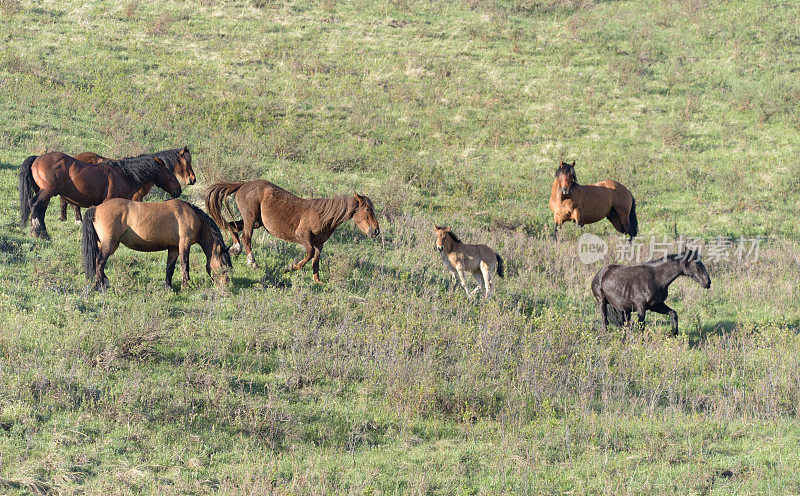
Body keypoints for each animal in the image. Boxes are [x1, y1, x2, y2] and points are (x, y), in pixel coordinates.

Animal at [19, 152, 183, 239]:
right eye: (170, 172)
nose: (179, 190)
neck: (124, 174)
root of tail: (37, 158)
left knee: (40, 210)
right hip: (47, 192)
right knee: (34, 205)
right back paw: (39, 233)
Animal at [80, 198, 231, 290]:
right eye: (223, 266)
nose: (225, 287)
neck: (192, 215)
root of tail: (95, 209)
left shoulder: (174, 248)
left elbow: (170, 268)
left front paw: (168, 287)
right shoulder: (184, 244)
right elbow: (185, 265)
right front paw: (186, 286)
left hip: (110, 244)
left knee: (98, 263)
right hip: (109, 244)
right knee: (99, 262)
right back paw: (101, 286)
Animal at [206, 179, 382, 280]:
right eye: (367, 210)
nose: (375, 231)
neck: (322, 215)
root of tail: (242, 185)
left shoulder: (320, 244)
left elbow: (315, 261)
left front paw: (317, 281)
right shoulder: (303, 236)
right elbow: (309, 254)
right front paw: (290, 268)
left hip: (256, 222)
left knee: (233, 226)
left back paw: (235, 249)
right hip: (251, 219)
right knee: (246, 238)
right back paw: (253, 263)